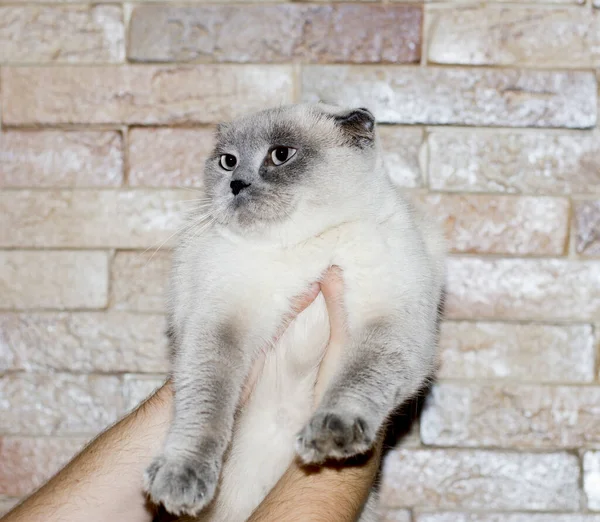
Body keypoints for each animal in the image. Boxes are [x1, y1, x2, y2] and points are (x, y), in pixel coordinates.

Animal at [144, 102, 446, 520]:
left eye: (281, 155)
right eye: (227, 161)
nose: (236, 184)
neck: (302, 243)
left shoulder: (391, 325)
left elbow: (356, 383)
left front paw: (329, 437)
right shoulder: (222, 324)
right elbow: (207, 407)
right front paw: (180, 481)